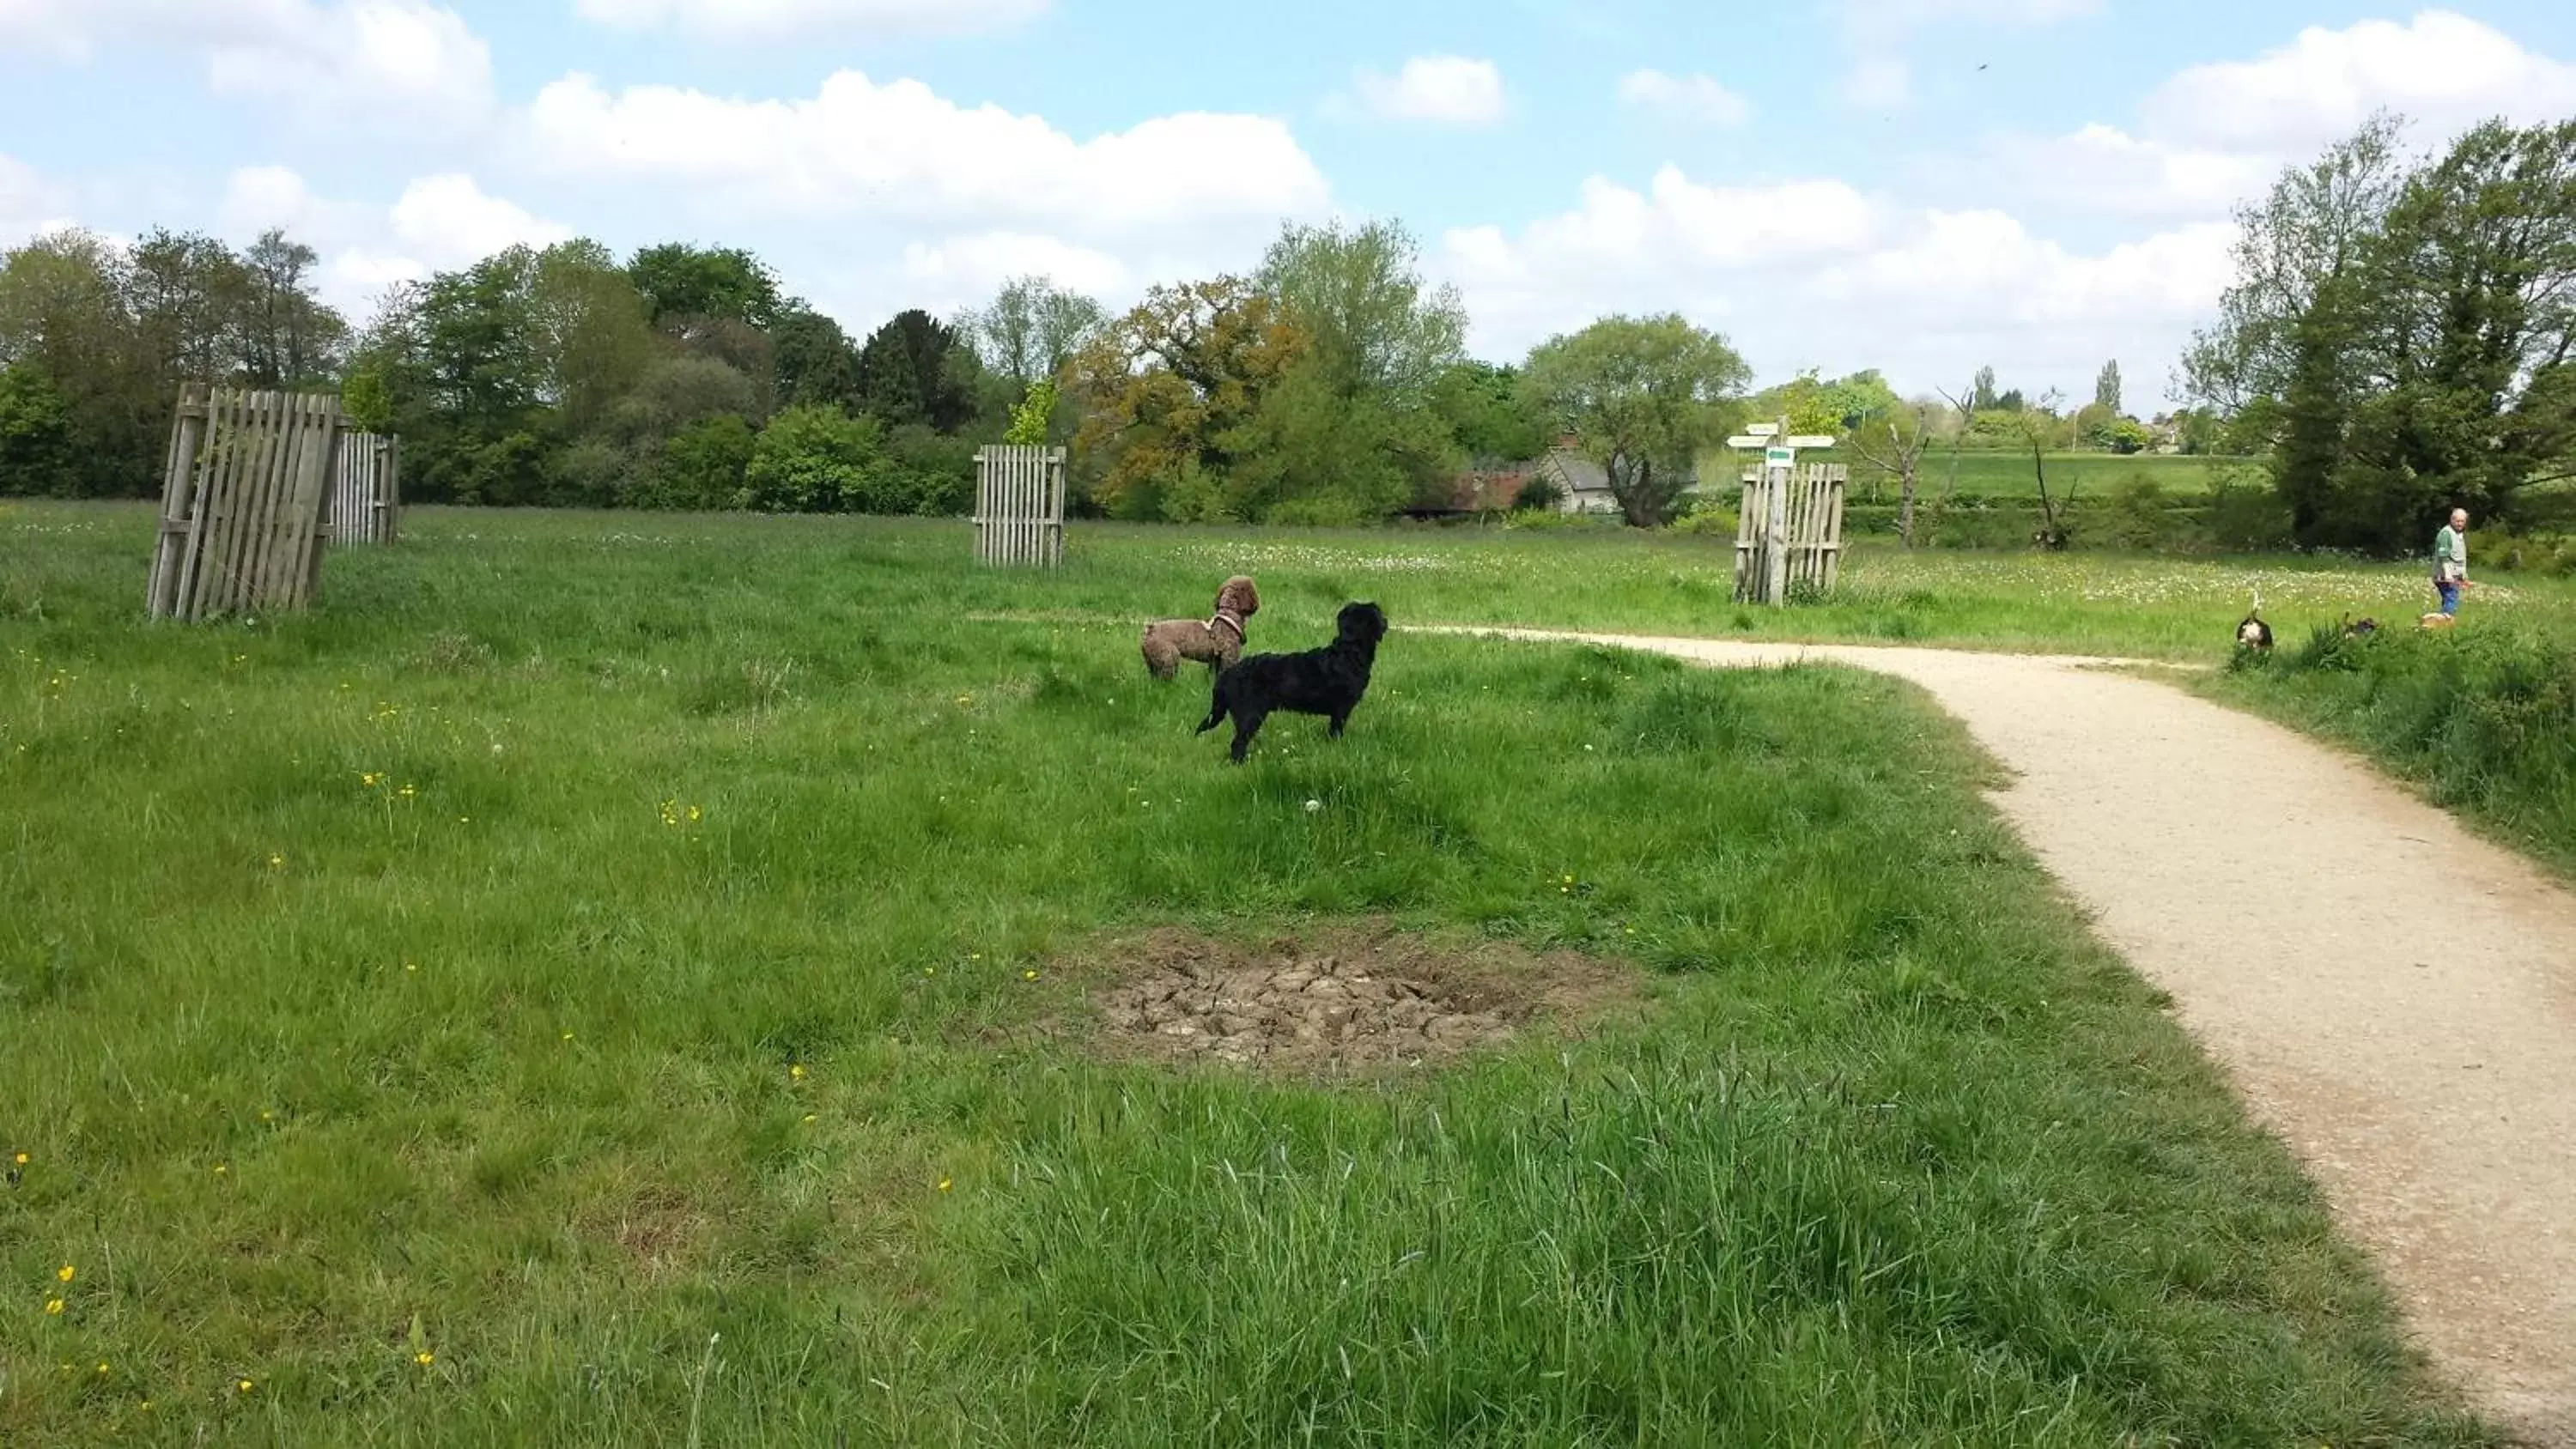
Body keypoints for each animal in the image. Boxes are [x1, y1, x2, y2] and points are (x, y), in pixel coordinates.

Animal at [1149, 576, 1267, 684]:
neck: (1229, 614)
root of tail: (1150, 630)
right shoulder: (1229, 656)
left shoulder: (1215, 661)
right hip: (1168, 659)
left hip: (1153, 663)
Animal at [1200, 602, 1391, 767]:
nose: (1386, 621)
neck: (1349, 652)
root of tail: (1227, 675)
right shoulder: (1341, 709)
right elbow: (1337, 732)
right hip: (1250, 714)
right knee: (1237, 743)